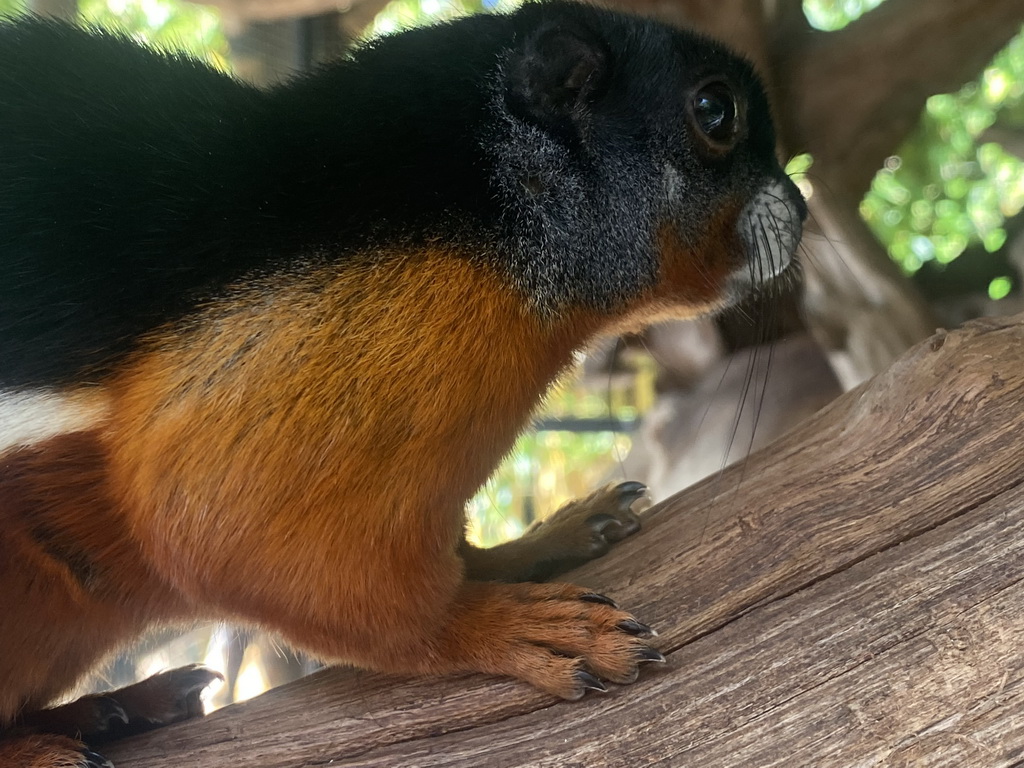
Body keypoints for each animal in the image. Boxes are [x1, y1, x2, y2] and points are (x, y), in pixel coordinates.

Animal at [0, 3, 798, 765]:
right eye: (714, 109)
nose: (800, 205)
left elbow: (457, 551)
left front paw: (538, 543)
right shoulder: (274, 405)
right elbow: (241, 549)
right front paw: (504, 624)